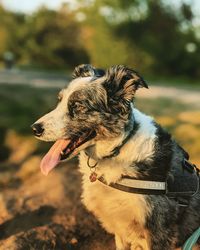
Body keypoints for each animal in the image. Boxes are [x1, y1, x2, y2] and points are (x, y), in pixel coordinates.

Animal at [31, 65, 200, 250]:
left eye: (77, 105)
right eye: (59, 101)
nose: (34, 129)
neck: (118, 148)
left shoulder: (159, 232)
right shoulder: (121, 231)